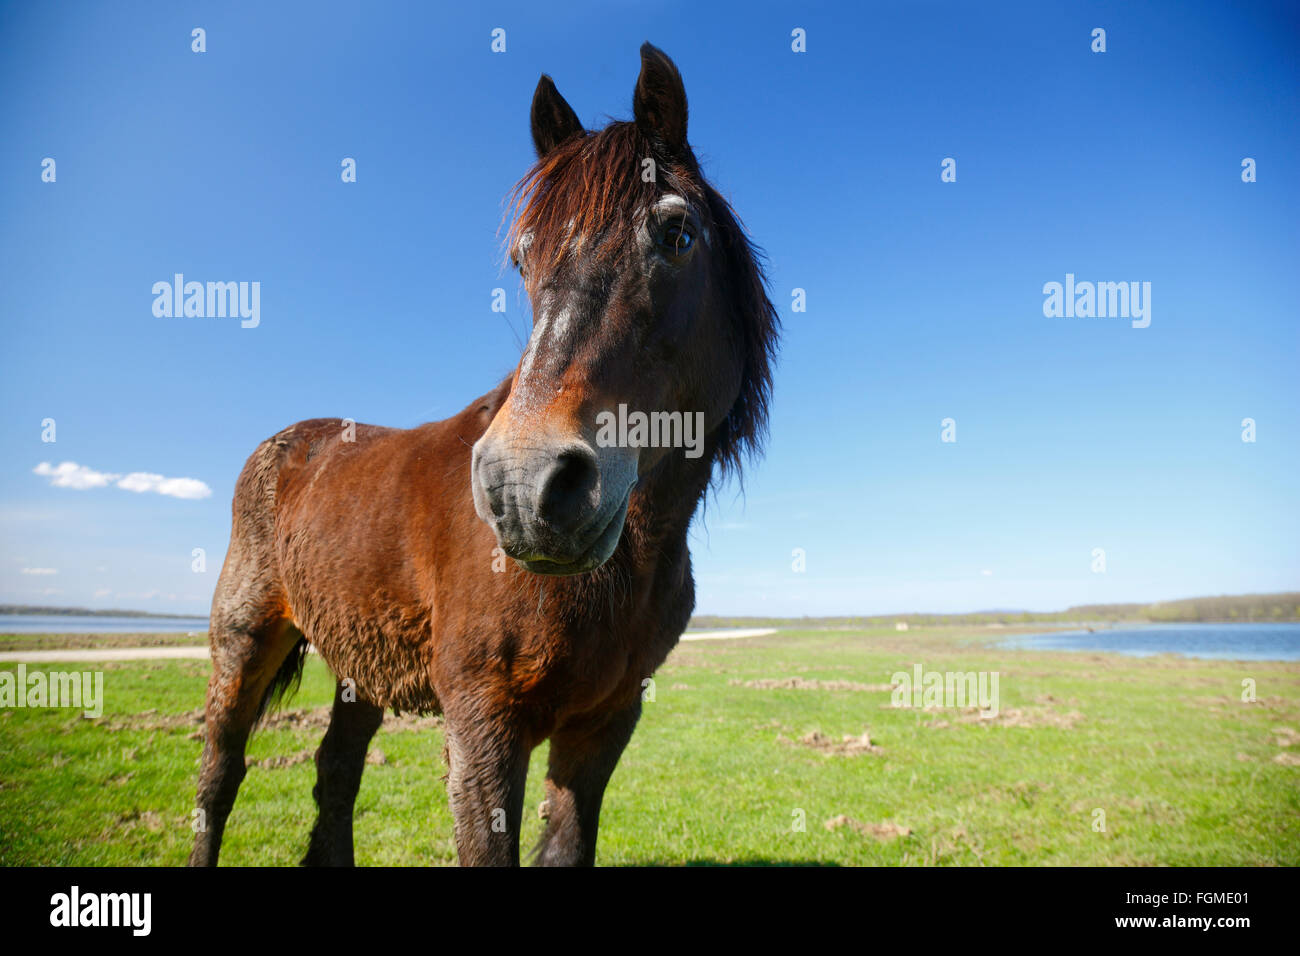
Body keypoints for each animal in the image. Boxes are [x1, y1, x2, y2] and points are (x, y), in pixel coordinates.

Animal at [188, 42, 774, 868]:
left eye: (677, 234)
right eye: (524, 259)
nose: (524, 490)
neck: (633, 561)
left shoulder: (605, 724)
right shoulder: (482, 724)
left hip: (360, 667)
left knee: (336, 767)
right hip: (242, 644)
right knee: (220, 773)